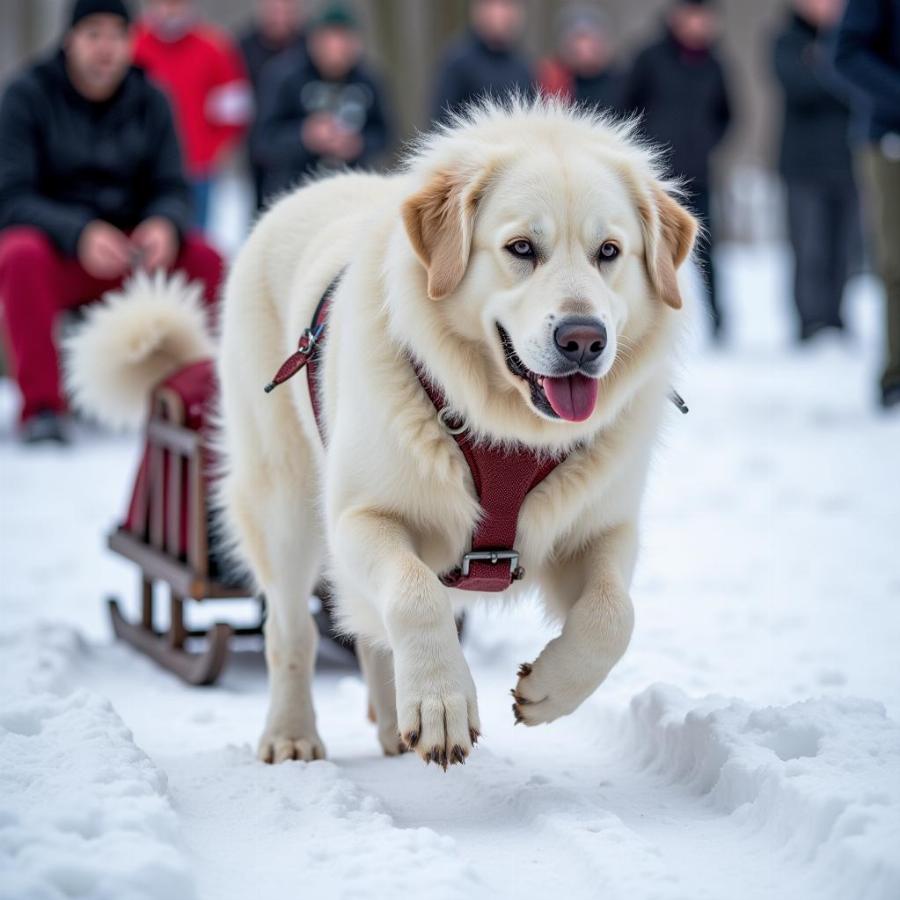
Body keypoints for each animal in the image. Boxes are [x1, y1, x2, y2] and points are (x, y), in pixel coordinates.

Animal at [72, 102, 704, 768]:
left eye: (609, 251)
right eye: (521, 248)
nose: (584, 339)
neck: (504, 428)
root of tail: (308, 190)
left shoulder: (602, 530)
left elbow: (614, 615)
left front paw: (549, 690)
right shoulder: (360, 517)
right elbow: (414, 593)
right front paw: (441, 703)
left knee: (367, 633)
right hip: (283, 505)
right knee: (290, 629)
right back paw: (292, 733)